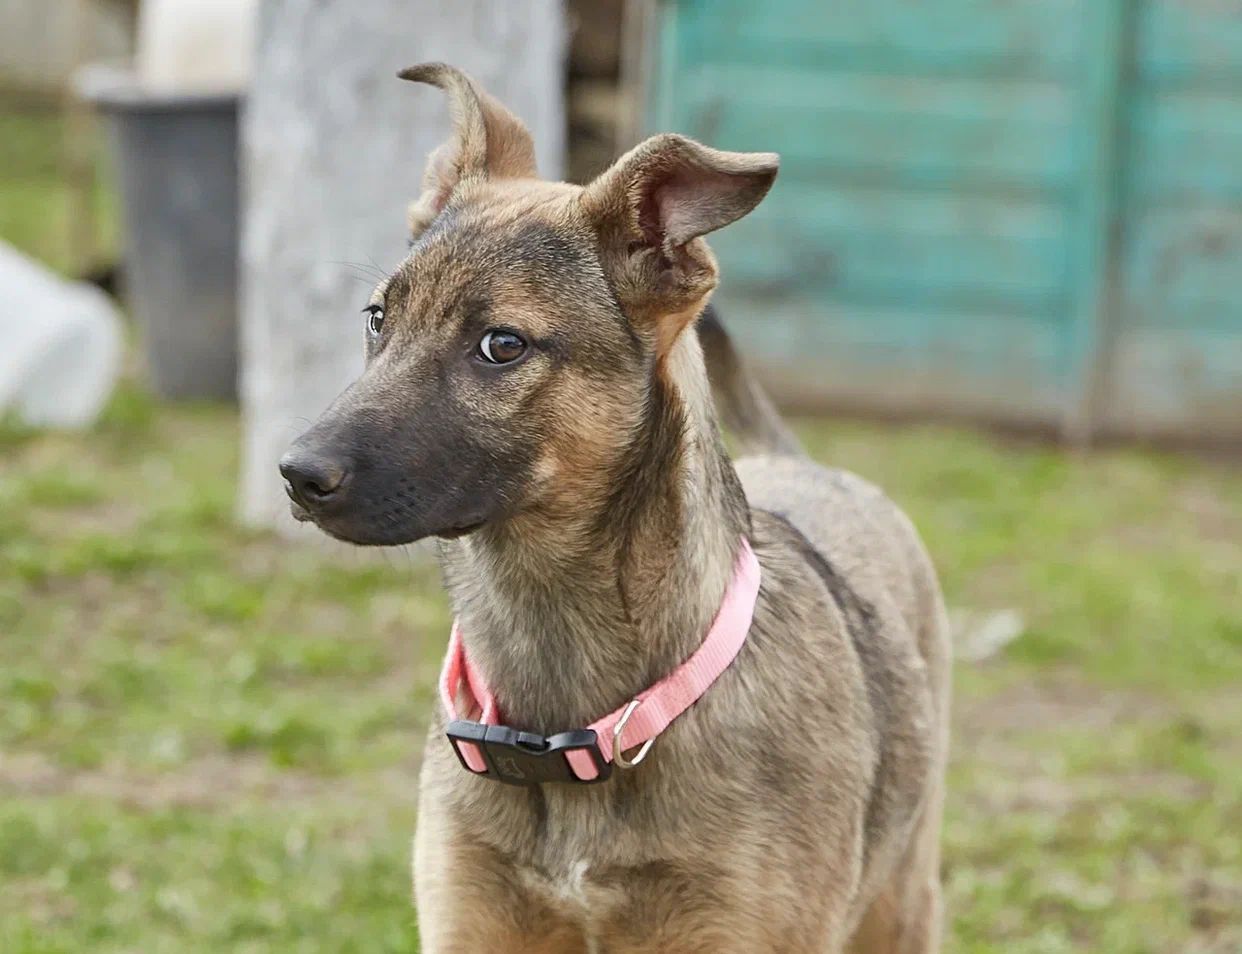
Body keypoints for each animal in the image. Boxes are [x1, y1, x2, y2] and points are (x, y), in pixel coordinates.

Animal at [284, 63, 948, 949]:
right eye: (377, 319)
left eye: (502, 345)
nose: (296, 474)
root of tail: (800, 461)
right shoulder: (470, 916)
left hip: (903, 898)